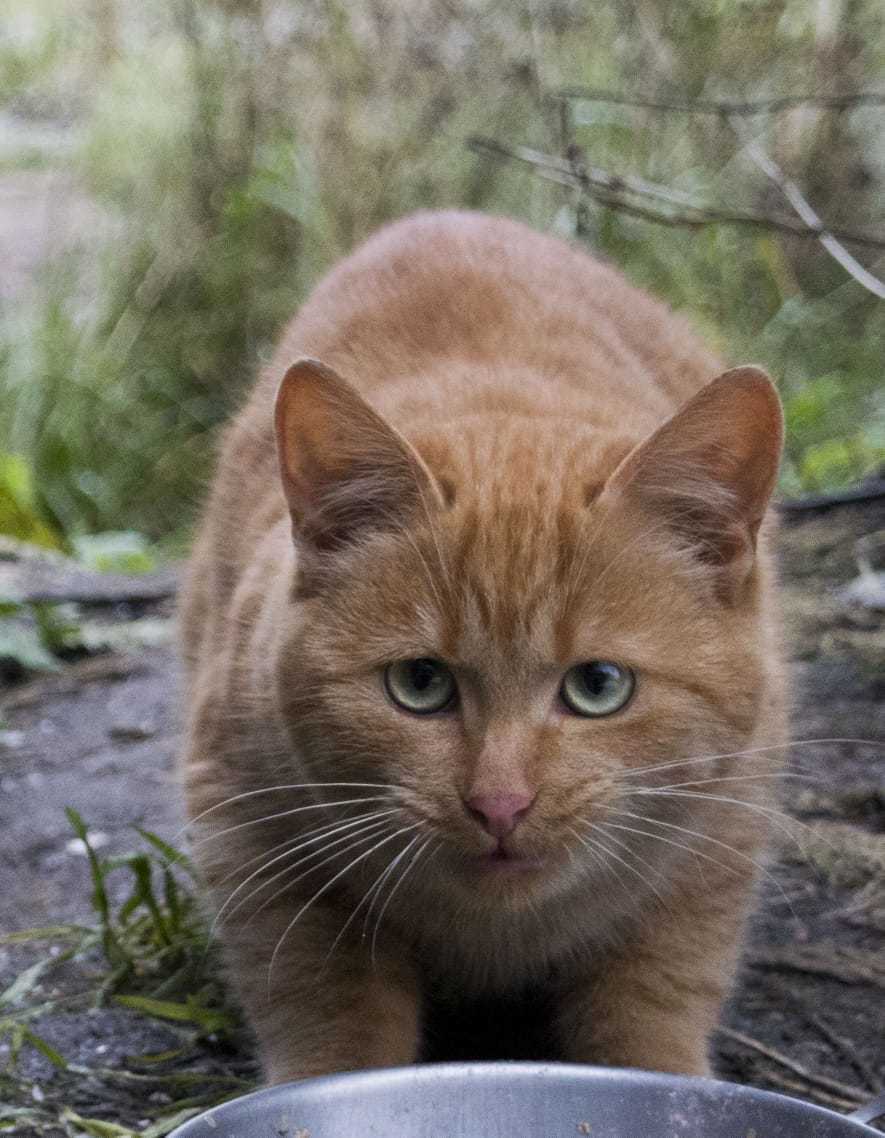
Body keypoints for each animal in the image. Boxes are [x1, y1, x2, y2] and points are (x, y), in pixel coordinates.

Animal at [179, 211, 787, 1083]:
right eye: (418, 682)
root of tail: (441, 216)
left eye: (599, 685)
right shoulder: (250, 831)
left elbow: (654, 999)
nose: (499, 804)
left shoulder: (717, 837)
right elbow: (328, 1013)